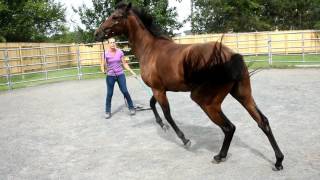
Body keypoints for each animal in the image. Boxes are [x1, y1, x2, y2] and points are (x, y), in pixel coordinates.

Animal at [94, 1, 284, 170]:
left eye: (115, 17)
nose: (97, 33)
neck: (150, 49)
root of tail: (230, 56)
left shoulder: (158, 89)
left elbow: (167, 114)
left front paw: (183, 139)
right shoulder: (161, 89)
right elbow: (151, 104)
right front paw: (161, 125)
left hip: (206, 102)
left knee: (229, 127)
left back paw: (219, 156)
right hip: (243, 95)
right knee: (263, 122)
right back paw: (278, 161)